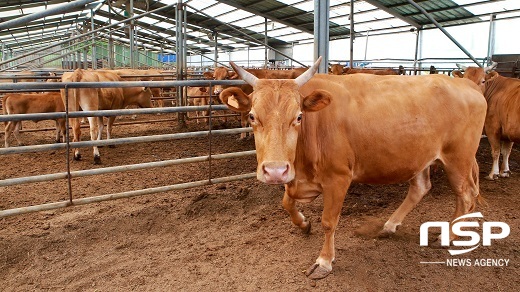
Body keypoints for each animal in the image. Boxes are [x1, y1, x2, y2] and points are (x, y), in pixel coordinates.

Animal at [219, 57, 488, 278]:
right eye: (252, 116)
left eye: (298, 116)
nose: (275, 171)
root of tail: (468, 85)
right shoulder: (298, 179)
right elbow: (287, 203)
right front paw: (304, 224)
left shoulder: (338, 178)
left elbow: (329, 221)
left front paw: (324, 261)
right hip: (422, 156)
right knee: (421, 187)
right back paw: (389, 226)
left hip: (458, 158)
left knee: (465, 194)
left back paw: (449, 235)